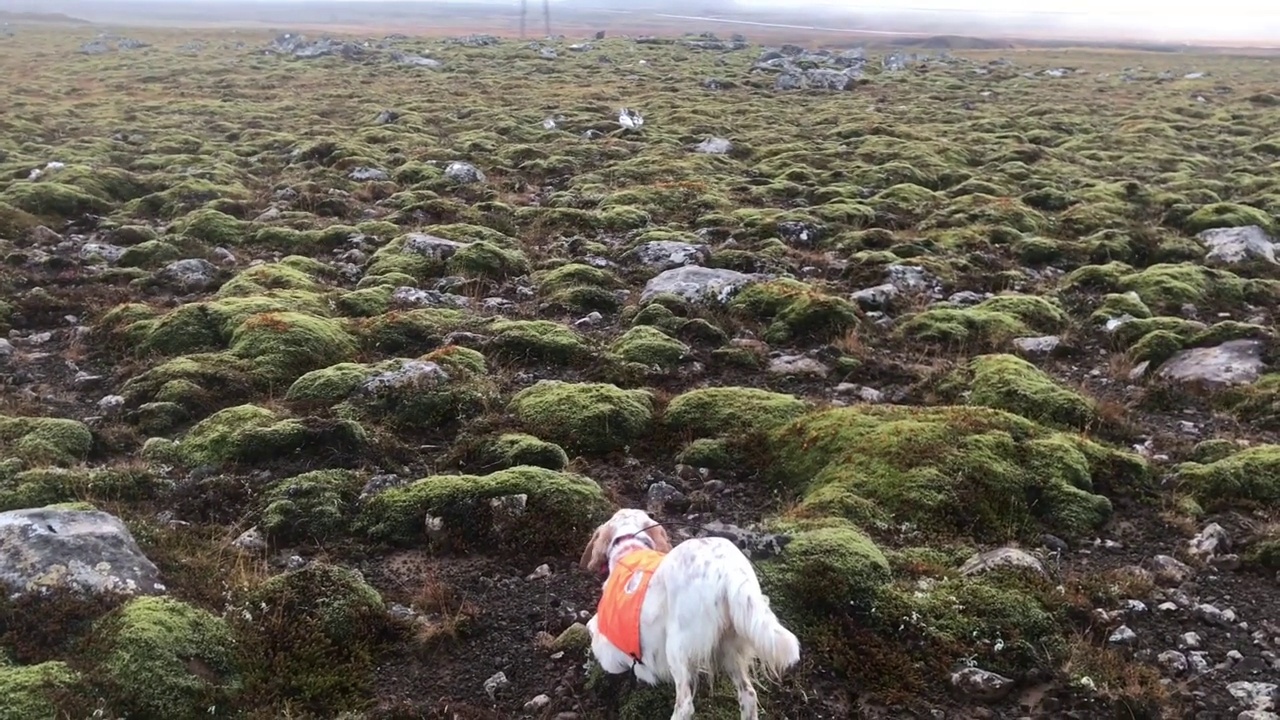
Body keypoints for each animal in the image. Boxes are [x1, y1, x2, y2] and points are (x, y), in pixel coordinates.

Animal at [581, 507, 798, 712]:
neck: (630, 548)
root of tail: (729, 569)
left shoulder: (608, 651)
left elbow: (595, 632)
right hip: (731, 645)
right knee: (749, 694)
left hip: (677, 647)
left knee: (685, 702)